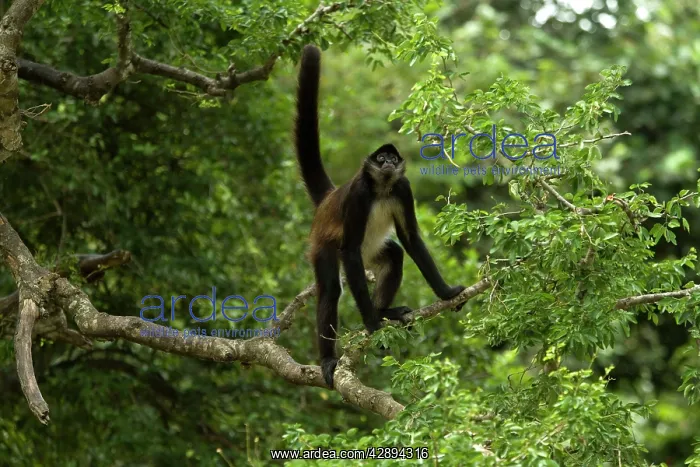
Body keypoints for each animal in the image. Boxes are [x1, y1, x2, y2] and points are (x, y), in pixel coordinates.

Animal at [294, 44, 466, 388]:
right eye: (381, 158)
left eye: (392, 159)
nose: (387, 162)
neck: (383, 189)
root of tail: (329, 198)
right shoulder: (360, 193)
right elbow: (348, 250)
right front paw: (372, 324)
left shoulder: (402, 187)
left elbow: (411, 239)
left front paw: (446, 293)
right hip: (323, 244)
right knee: (331, 287)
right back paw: (332, 355)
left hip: (371, 251)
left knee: (395, 255)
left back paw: (384, 312)